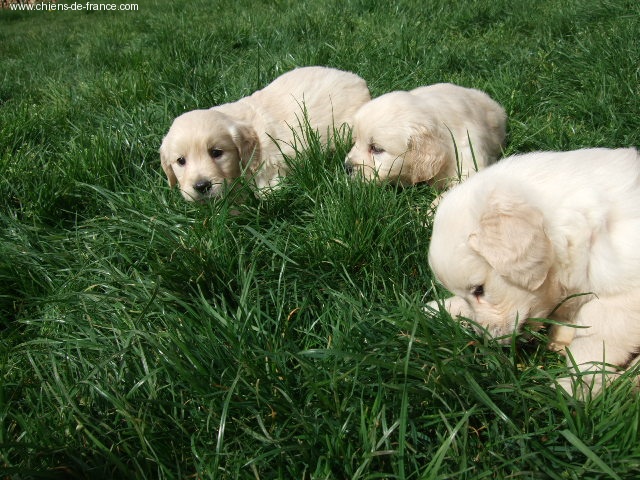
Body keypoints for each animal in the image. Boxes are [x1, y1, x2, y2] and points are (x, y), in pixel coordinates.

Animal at [428, 148, 640, 396]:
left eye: (479, 290)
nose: (488, 342)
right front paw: (437, 308)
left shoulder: (623, 298)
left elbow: (597, 336)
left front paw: (572, 386)